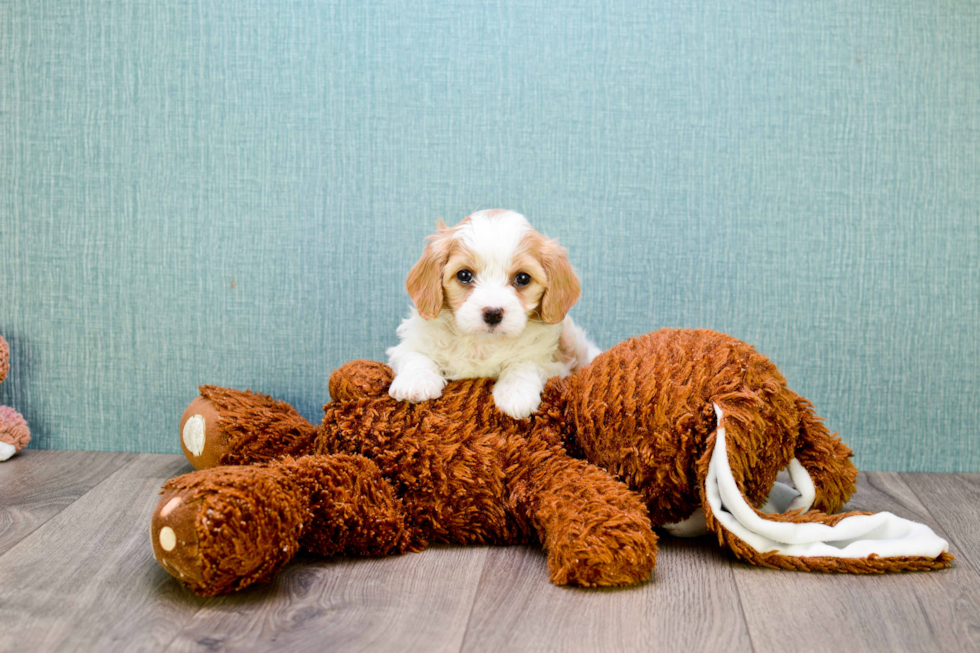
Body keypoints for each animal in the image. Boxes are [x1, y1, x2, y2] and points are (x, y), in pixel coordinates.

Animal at [386, 211, 600, 420]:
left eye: (523, 278)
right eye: (464, 275)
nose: (493, 313)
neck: (482, 344)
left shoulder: (555, 363)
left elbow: (526, 363)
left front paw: (516, 394)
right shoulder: (411, 342)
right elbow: (416, 354)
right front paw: (415, 382)